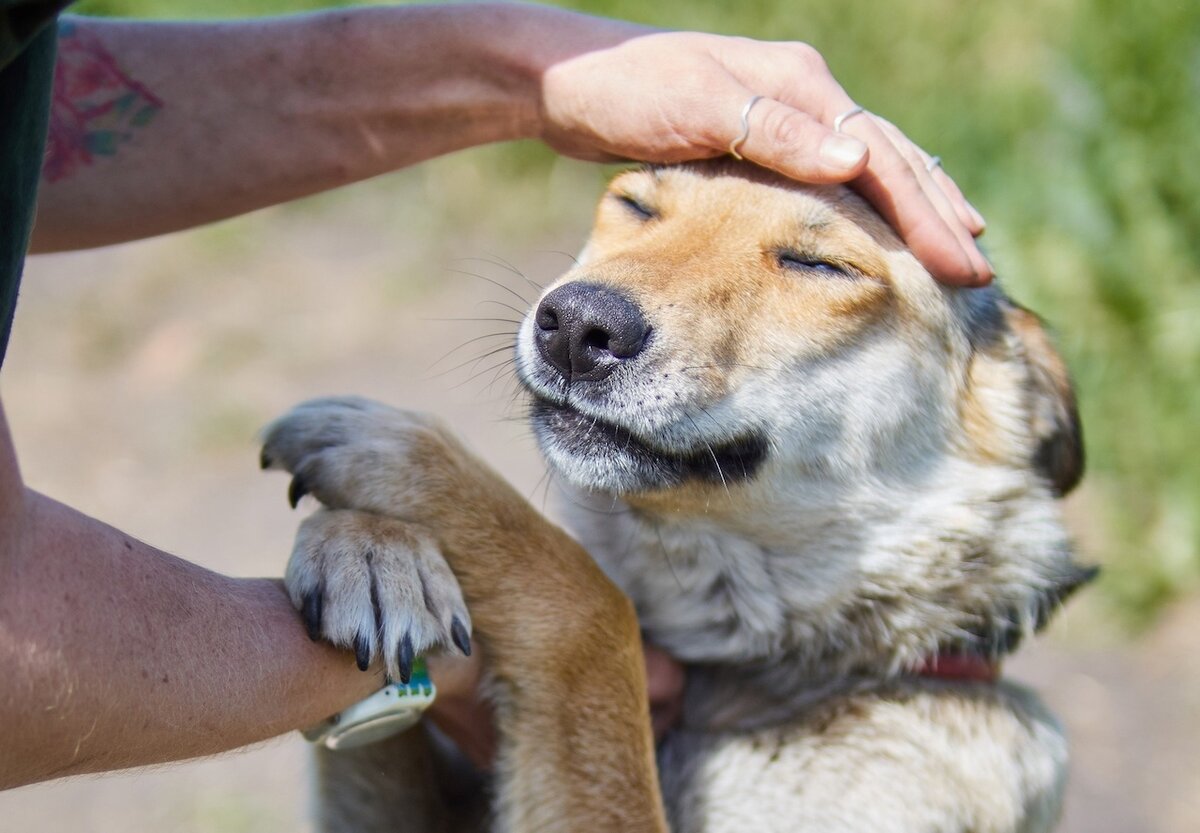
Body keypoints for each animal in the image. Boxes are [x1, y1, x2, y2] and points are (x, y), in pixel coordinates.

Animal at [265, 159, 1099, 830]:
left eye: (821, 265)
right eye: (634, 204)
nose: (574, 324)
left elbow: (594, 608)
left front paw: (406, 454)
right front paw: (372, 553)